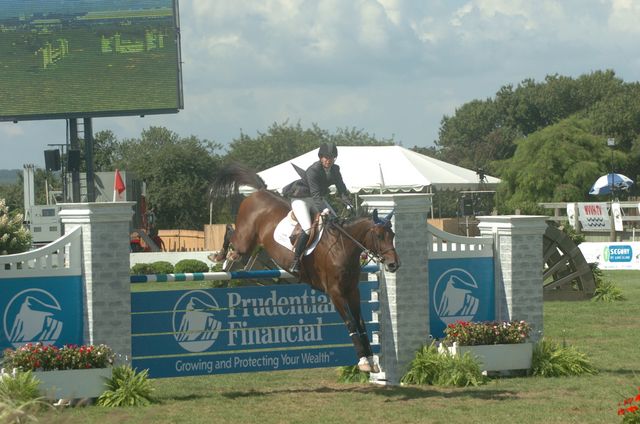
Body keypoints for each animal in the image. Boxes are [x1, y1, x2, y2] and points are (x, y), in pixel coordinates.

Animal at [210, 162, 400, 372]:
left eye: (392, 235)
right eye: (379, 236)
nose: (393, 264)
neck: (343, 246)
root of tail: (259, 192)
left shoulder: (352, 290)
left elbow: (361, 323)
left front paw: (372, 360)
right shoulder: (335, 293)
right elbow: (351, 323)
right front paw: (363, 360)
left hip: (250, 244)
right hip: (245, 240)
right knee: (229, 230)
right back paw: (220, 255)